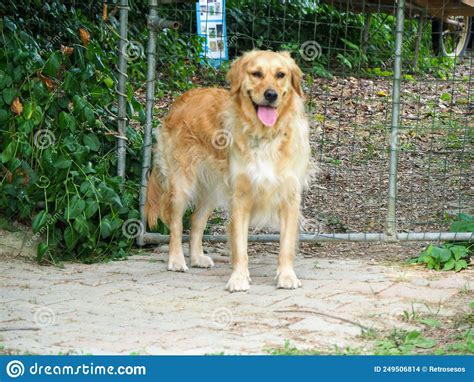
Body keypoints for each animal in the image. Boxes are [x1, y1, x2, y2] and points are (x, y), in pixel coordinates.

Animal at [146, 49, 312, 290]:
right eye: (256, 73)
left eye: (281, 74)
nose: (271, 95)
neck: (265, 136)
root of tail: (182, 98)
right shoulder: (240, 196)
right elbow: (240, 246)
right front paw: (239, 278)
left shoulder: (290, 196)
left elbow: (286, 245)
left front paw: (287, 276)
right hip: (181, 184)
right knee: (176, 223)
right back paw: (176, 260)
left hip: (212, 189)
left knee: (195, 220)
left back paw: (197, 258)